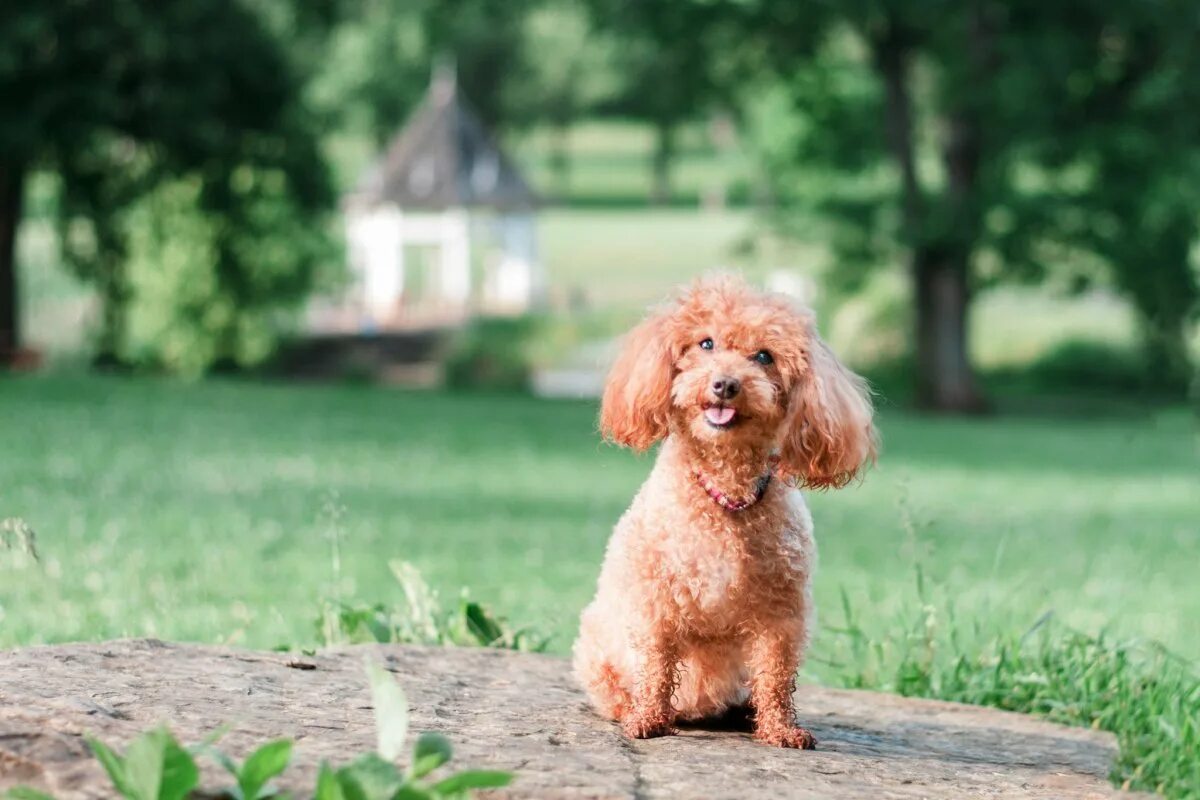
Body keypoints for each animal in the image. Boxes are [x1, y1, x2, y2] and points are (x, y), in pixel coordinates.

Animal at [576, 277, 878, 753]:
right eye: (706, 343)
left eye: (764, 356)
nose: (725, 384)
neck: (727, 491)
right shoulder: (655, 598)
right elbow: (656, 664)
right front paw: (648, 719)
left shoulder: (780, 612)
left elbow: (775, 675)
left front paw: (780, 729)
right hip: (595, 644)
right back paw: (634, 708)